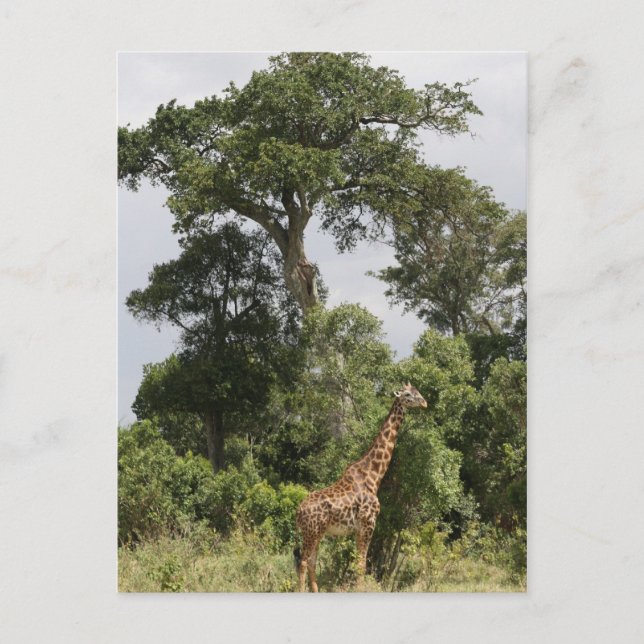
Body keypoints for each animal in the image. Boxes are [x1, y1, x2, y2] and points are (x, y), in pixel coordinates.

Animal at [294, 383, 428, 592]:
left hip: (316, 532)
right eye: (407, 394)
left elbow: (359, 563)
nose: (424, 402)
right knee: (303, 562)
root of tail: (298, 513)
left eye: (417, 391)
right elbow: (361, 564)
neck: (374, 475)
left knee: (312, 562)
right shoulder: (368, 523)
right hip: (312, 532)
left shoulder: (359, 528)